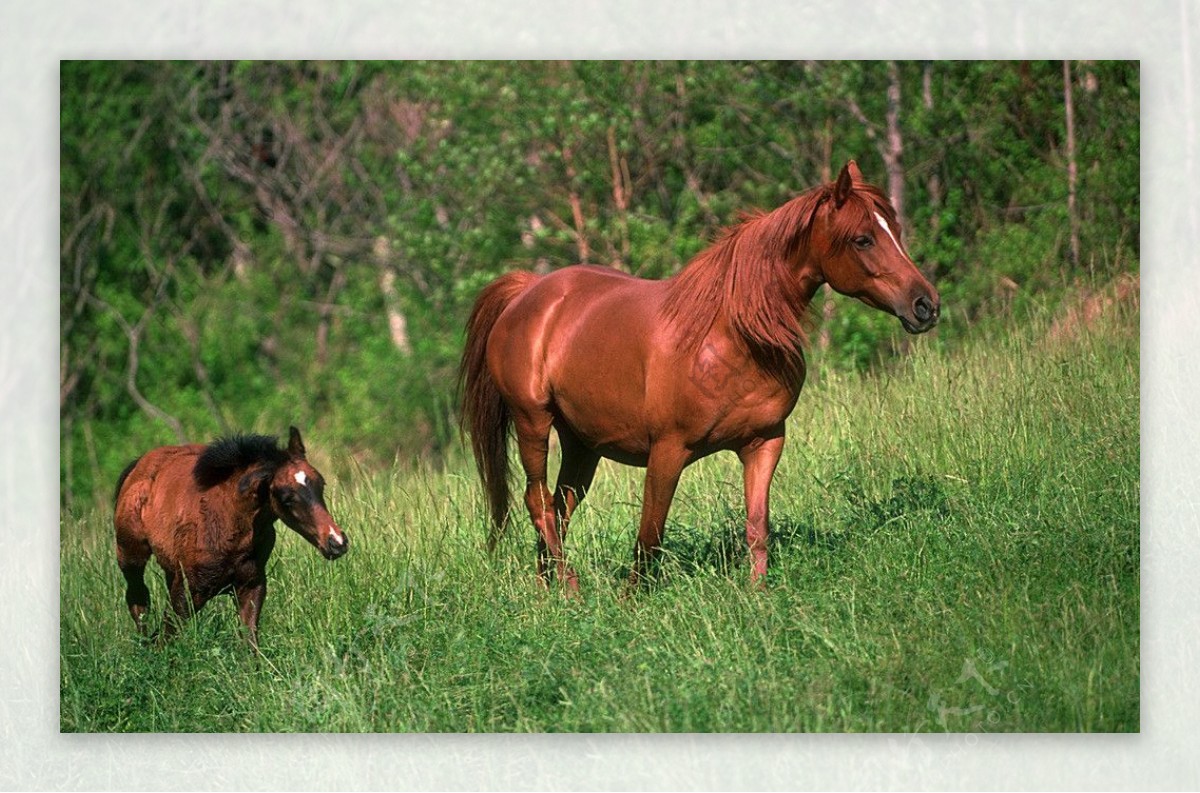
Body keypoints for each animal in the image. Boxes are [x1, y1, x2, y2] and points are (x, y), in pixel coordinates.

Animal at [113, 427, 348, 643]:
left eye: (321, 484)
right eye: (287, 498)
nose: (337, 542)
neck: (229, 522)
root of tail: (139, 465)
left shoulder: (250, 586)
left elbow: (248, 640)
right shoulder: (187, 591)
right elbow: (167, 637)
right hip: (131, 557)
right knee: (138, 601)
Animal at [463, 159, 940, 587]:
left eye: (895, 232)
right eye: (862, 239)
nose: (925, 305)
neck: (731, 337)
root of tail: (527, 292)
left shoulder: (764, 443)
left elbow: (757, 528)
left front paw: (757, 595)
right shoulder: (668, 451)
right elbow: (650, 536)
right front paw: (630, 603)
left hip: (583, 444)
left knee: (558, 510)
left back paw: (550, 591)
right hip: (533, 423)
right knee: (538, 502)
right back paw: (572, 589)